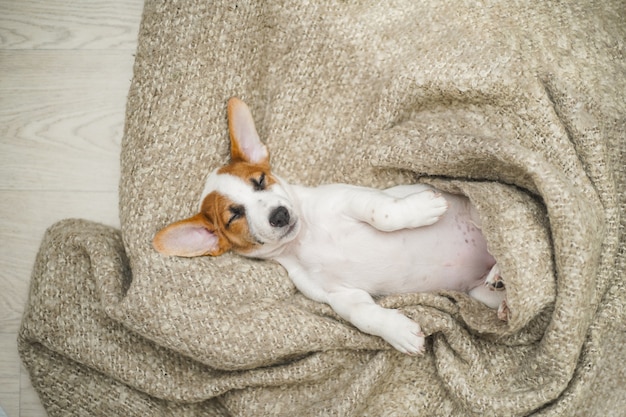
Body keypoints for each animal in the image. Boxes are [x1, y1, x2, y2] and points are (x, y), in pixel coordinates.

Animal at [154, 98, 504, 354]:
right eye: (234, 216)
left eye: (260, 181)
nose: (279, 215)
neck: (305, 237)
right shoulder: (338, 296)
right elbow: (364, 316)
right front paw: (399, 331)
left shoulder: (352, 198)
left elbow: (383, 213)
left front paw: (421, 207)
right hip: (477, 292)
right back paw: (500, 286)